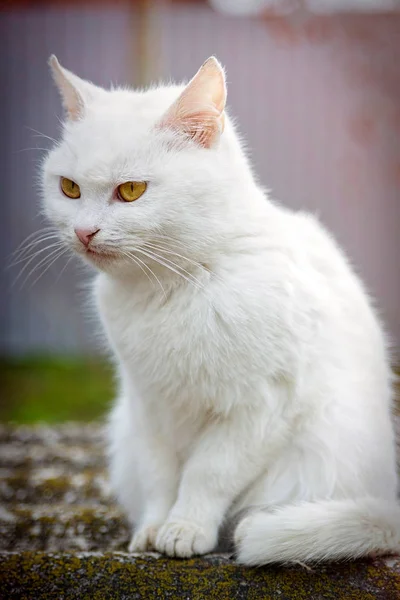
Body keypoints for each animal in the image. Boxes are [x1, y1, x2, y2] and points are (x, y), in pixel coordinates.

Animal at [42, 55, 398, 564]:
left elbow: (207, 474)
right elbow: (159, 475)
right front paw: (153, 528)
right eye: (69, 188)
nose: (84, 231)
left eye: (131, 191)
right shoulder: (148, 405)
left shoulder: (259, 407)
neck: (172, 288)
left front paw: (185, 528)